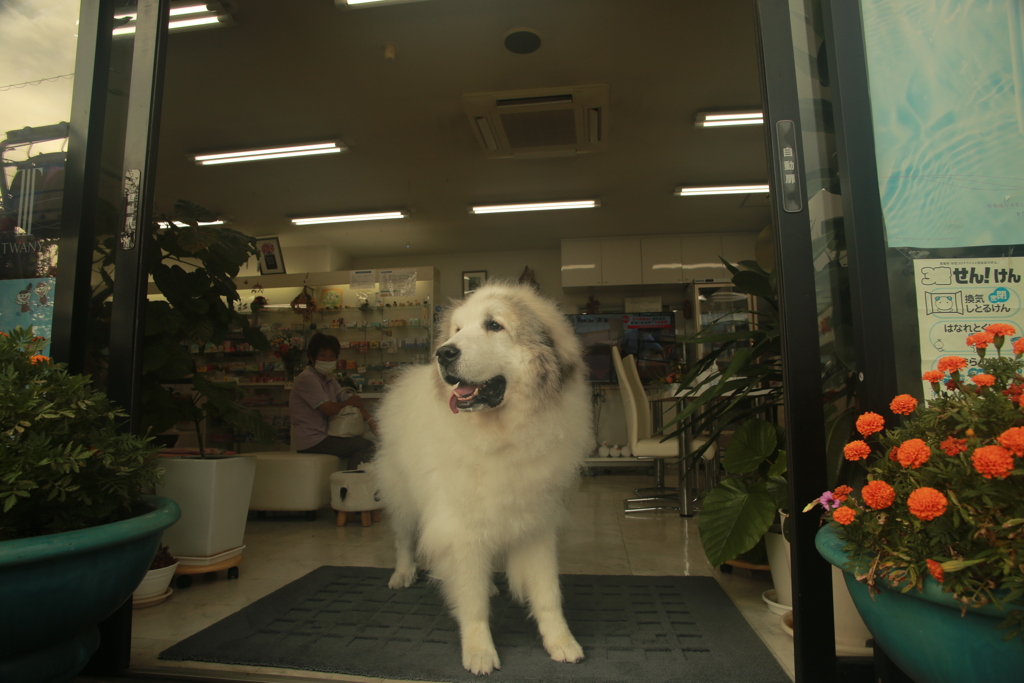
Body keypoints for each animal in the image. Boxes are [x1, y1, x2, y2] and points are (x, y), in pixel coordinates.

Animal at [370, 280, 593, 675]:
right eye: (457, 329)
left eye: (494, 326)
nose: (444, 353)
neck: (503, 438)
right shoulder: (463, 530)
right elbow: (472, 603)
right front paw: (479, 651)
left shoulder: (537, 522)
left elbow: (548, 593)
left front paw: (561, 642)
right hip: (402, 495)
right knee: (404, 538)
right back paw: (402, 574)